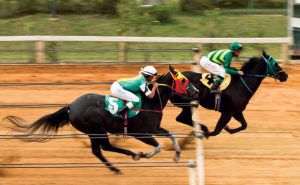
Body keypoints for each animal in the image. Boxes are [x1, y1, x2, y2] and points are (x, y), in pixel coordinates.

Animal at [4, 65, 199, 175]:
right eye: (184, 79)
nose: (196, 91)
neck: (149, 101)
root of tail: (71, 106)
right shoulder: (140, 133)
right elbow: (157, 146)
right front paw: (145, 154)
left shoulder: (154, 129)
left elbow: (171, 135)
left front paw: (177, 155)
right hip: (96, 129)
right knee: (104, 148)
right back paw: (128, 159)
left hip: (93, 132)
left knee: (99, 150)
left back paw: (119, 165)